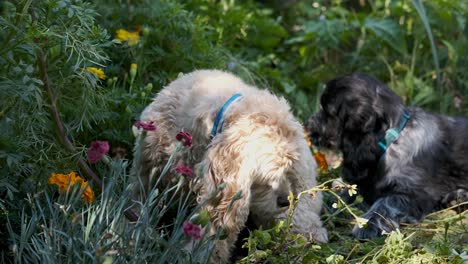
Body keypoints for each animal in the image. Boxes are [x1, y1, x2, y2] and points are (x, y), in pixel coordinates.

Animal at [308, 72, 468, 239]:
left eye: (328, 112)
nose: (308, 126)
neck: (394, 139)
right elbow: (340, 195)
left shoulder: (414, 193)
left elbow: (386, 202)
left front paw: (368, 224)